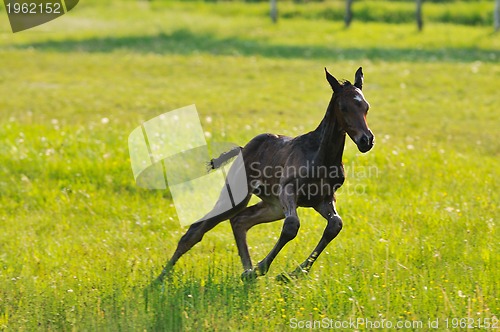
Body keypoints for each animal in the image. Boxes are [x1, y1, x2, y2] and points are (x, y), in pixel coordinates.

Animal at [154, 67, 374, 282]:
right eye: (343, 107)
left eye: (366, 107)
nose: (366, 140)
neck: (321, 156)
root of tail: (243, 148)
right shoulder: (288, 190)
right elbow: (291, 226)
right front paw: (264, 268)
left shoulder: (323, 199)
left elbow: (335, 225)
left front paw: (292, 274)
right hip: (238, 194)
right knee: (197, 229)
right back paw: (159, 279)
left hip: (274, 206)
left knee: (240, 221)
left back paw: (247, 273)